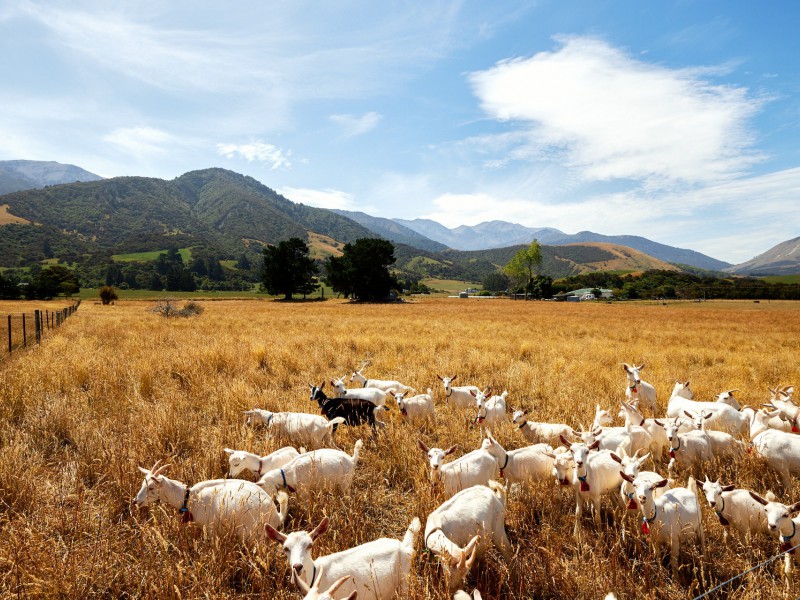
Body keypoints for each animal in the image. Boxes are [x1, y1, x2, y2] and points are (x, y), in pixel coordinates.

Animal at [134, 462, 288, 540]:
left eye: (151, 487)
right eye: (142, 484)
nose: (136, 501)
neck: (189, 498)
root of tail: (276, 515)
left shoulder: (210, 528)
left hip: (254, 534)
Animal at [268, 516, 422, 600]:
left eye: (310, 545)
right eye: (286, 548)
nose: (297, 567)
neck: (315, 574)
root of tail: (404, 546)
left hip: (404, 583)